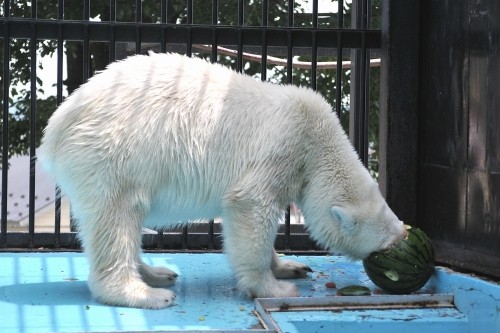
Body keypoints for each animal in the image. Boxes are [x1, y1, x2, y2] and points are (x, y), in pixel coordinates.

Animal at [39, 52, 406, 308]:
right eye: (387, 244)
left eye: (395, 219)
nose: (404, 234)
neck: (317, 140)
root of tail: (55, 128)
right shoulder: (282, 147)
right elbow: (251, 206)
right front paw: (274, 287)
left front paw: (291, 266)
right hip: (112, 155)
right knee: (116, 219)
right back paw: (145, 293)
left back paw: (157, 274)